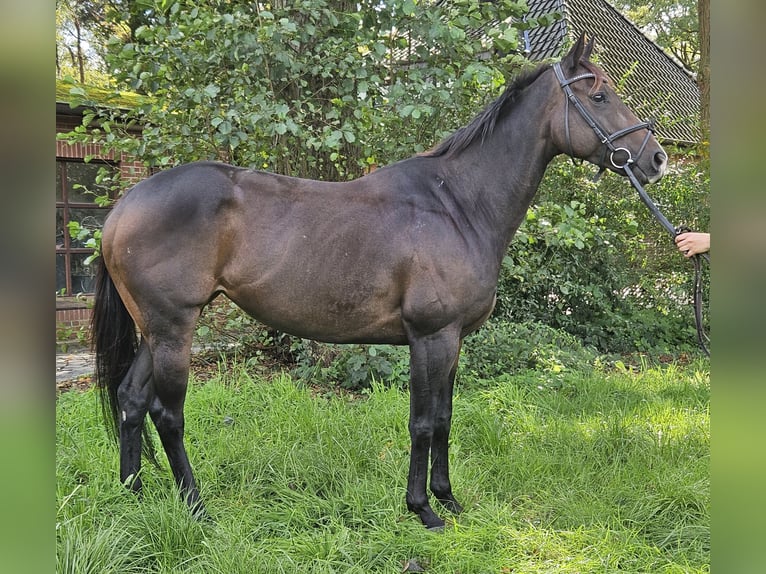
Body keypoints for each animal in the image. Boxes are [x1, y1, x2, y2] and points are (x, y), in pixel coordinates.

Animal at [90, 33, 664, 532]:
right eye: (599, 94)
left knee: (132, 400)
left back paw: (133, 494)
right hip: (174, 329)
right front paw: (422, 510)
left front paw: (448, 499)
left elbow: (445, 419)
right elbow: (423, 422)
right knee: (167, 414)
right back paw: (196, 507)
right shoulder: (430, 337)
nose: (656, 159)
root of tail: (124, 207)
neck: (457, 205)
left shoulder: (452, 340)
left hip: (156, 331)